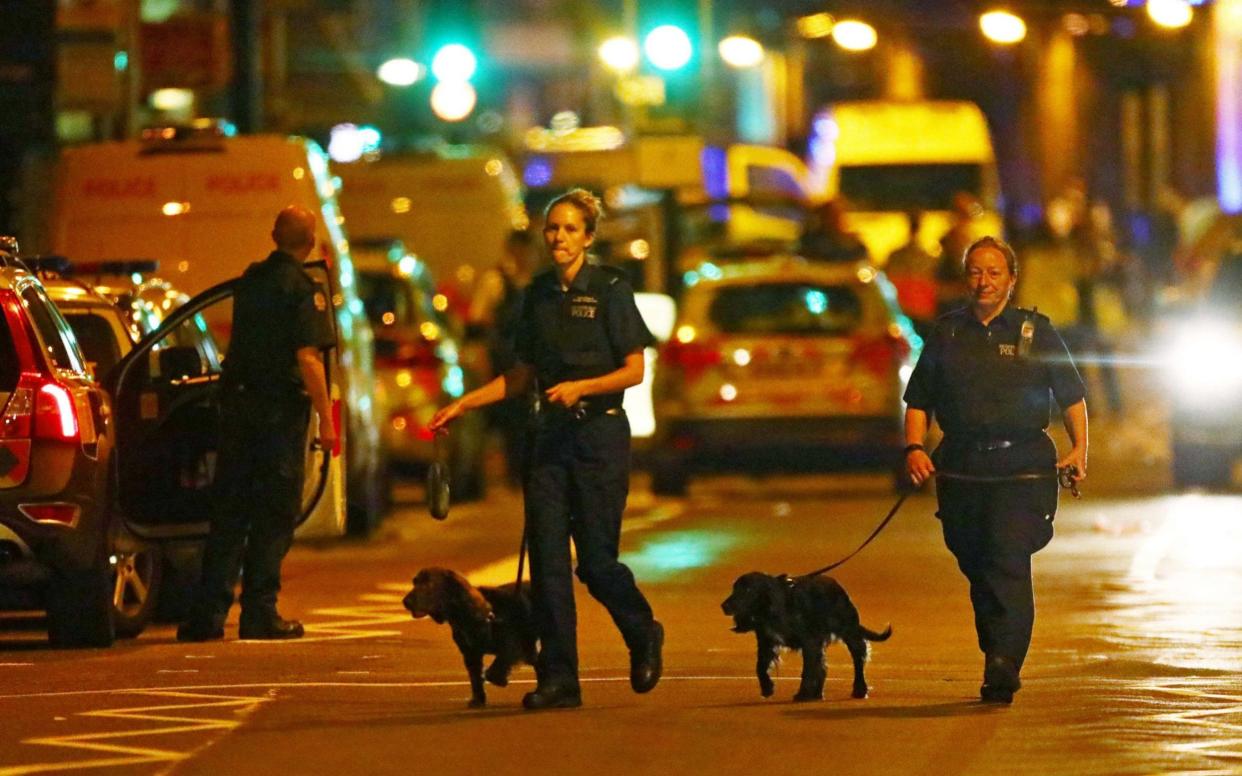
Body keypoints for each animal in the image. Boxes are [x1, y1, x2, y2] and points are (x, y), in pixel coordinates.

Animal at [397, 566, 534, 705]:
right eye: (415, 582)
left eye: (428, 584)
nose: (405, 602)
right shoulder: (470, 654)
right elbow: (475, 678)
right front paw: (478, 699)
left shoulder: (513, 641)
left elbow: (497, 665)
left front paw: (499, 679)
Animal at [725, 568, 889, 700]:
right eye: (734, 589)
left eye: (747, 590)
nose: (723, 606)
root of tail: (839, 588)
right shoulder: (767, 642)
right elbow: (760, 667)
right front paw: (767, 688)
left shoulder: (809, 642)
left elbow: (808, 670)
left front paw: (803, 693)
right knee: (823, 667)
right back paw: (817, 694)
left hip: (850, 633)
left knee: (858, 660)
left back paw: (859, 690)